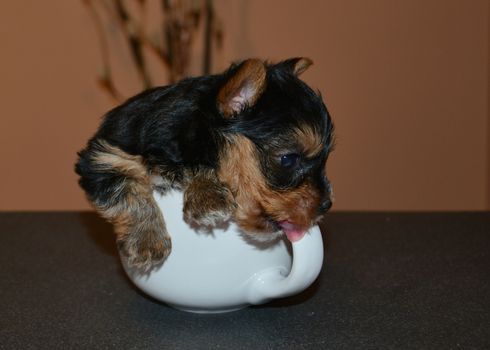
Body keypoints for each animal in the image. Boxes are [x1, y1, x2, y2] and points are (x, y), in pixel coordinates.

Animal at [76, 57, 334, 270]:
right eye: (288, 159)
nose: (327, 205)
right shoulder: (103, 155)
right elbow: (125, 186)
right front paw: (146, 240)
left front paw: (209, 198)